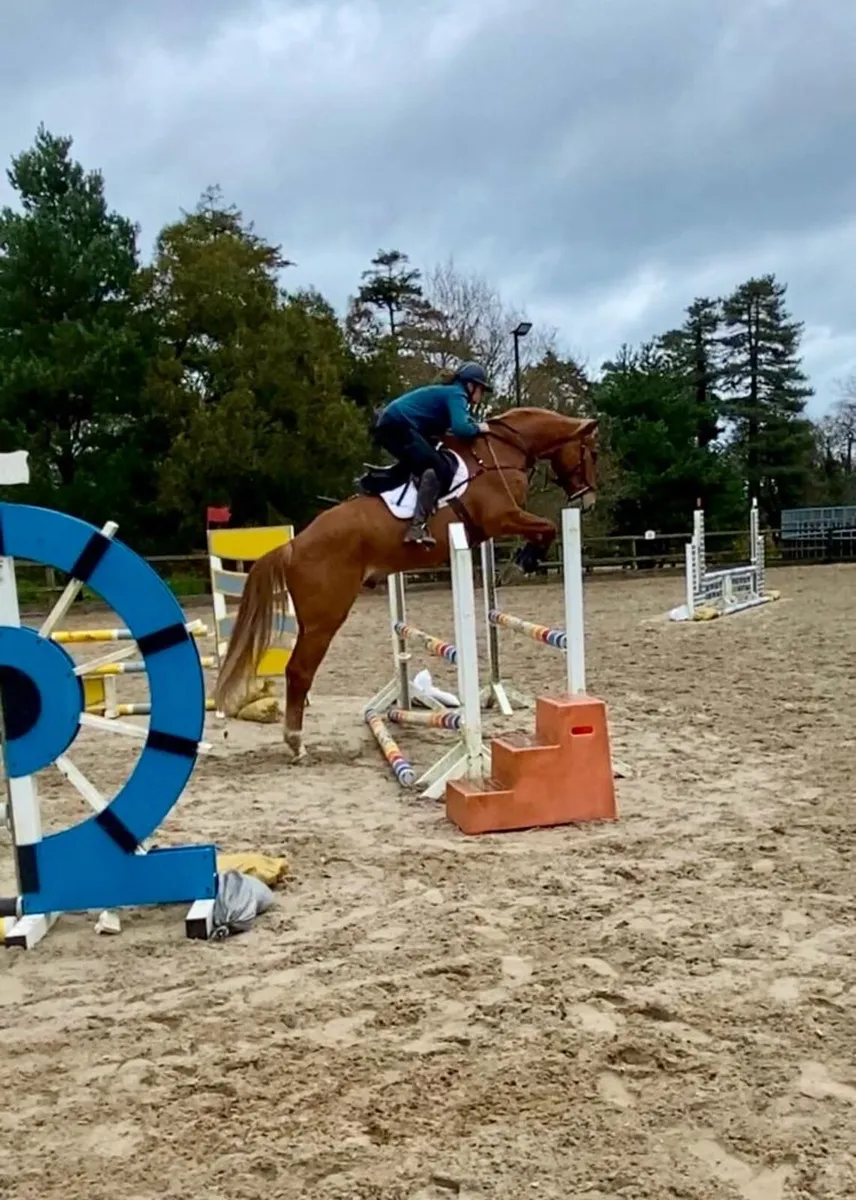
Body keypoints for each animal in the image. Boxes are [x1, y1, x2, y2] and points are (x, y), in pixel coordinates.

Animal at [213, 407, 599, 760]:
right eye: (591, 453)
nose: (588, 500)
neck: (500, 452)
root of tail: (293, 546)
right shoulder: (502, 518)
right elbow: (547, 527)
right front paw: (521, 565)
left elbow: (543, 529)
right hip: (325, 619)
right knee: (299, 670)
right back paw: (295, 741)